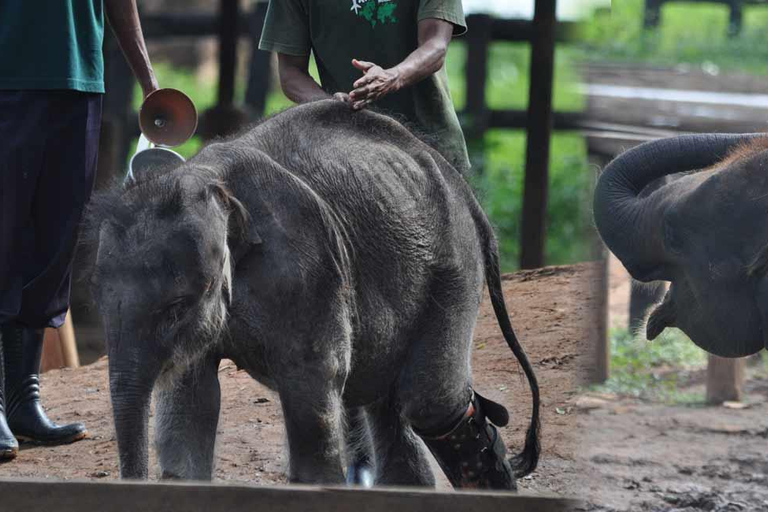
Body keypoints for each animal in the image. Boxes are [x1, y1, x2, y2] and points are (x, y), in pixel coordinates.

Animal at [85, 99, 540, 488]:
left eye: (178, 306)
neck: (210, 183)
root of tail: (467, 193)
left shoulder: (308, 266)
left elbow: (312, 382)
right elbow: (191, 400)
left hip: (453, 265)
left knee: (430, 402)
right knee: (387, 399)